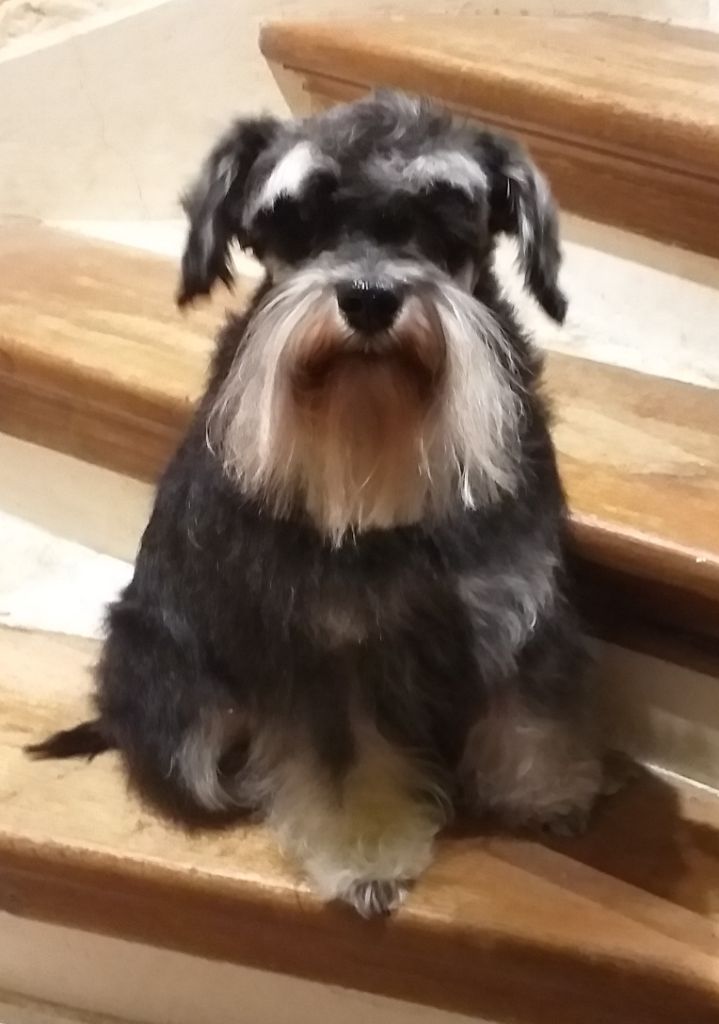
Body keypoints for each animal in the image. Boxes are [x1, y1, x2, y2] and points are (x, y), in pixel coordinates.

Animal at [30, 90, 604, 917]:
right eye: (296, 222)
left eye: (443, 214)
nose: (367, 298)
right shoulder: (322, 647)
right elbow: (345, 758)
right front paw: (365, 857)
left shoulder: (518, 596)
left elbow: (532, 701)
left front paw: (548, 792)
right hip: (171, 685)